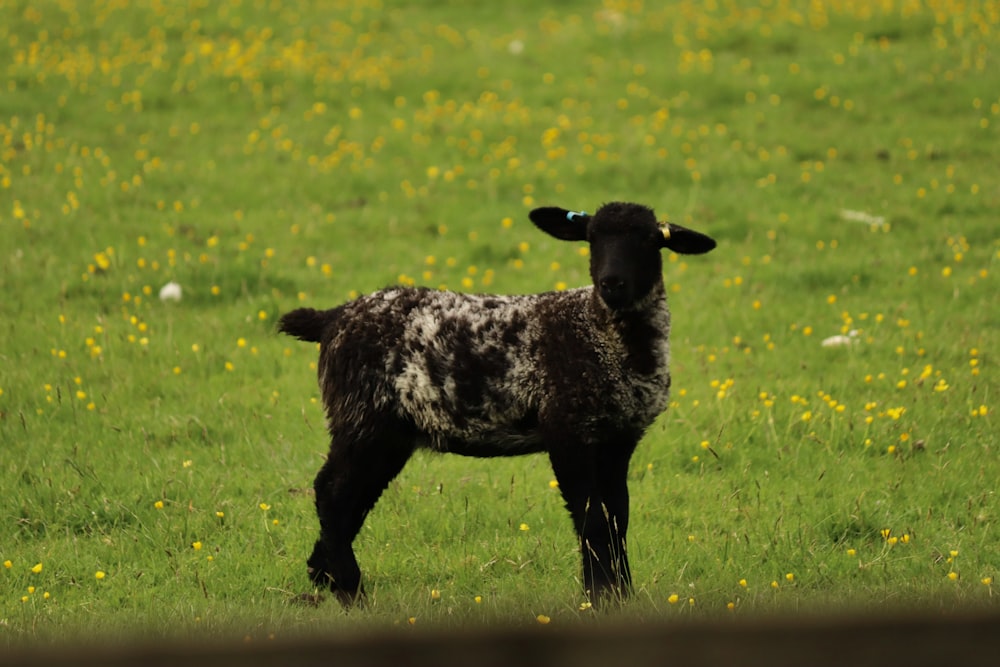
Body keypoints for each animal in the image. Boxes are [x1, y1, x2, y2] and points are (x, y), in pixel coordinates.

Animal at [278, 201, 716, 608]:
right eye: (591, 238)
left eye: (649, 240)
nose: (612, 283)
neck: (602, 334)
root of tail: (334, 316)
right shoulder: (567, 429)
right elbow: (591, 518)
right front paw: (598, 596)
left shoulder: (618, 438)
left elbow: (617, 516)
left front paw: (622, 594)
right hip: (363, 416)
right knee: (332, 492)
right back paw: (351, 590)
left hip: (387, 431)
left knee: (354, 494)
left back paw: (324, 575)